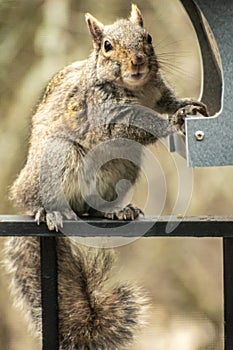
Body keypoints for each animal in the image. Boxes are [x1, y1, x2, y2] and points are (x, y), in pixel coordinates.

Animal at [5, 3, 209, 350]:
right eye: (107, 46)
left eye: (148, 37)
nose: (138, 61)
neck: (136, 88)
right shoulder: (105, 115)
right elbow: (130, 127)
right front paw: (172, 123)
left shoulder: (158, 92)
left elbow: (168, 102)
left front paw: (185, 106)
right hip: (59, 158)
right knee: (38, 200)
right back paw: (49, 210)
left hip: (123, 167)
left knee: (91, 207)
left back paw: (116, 210)